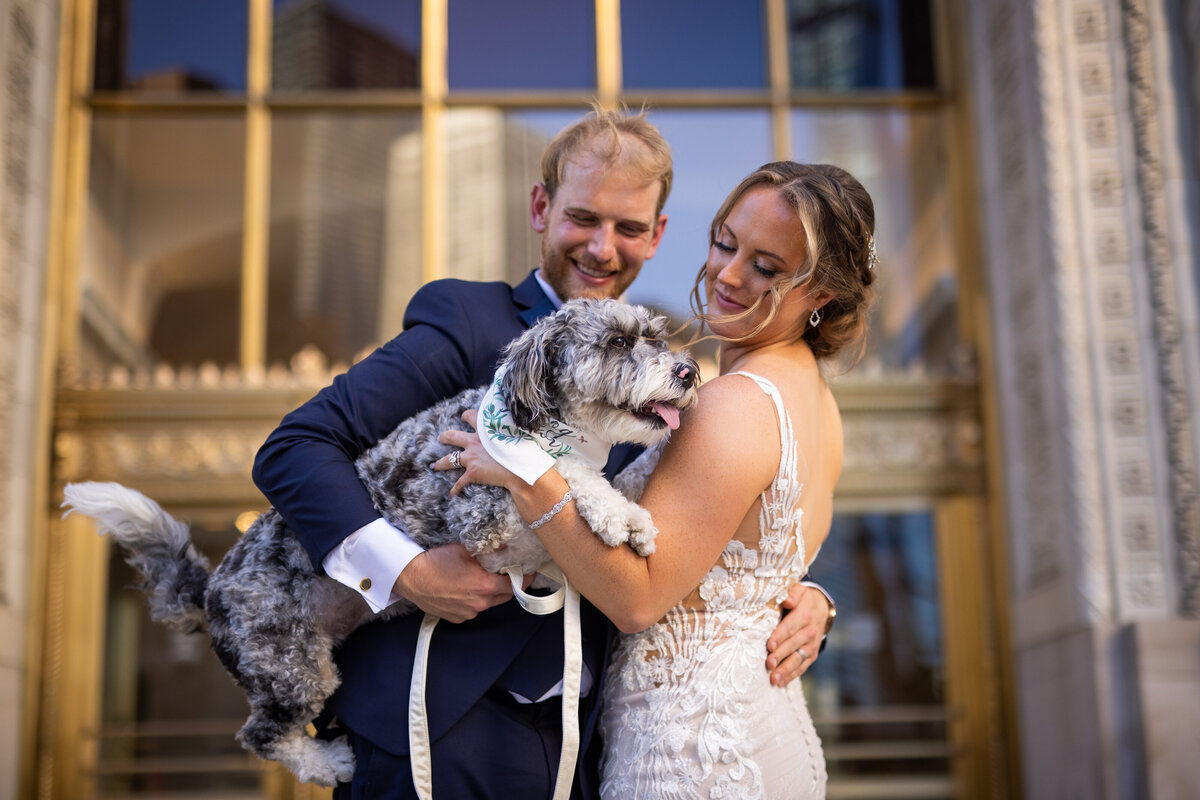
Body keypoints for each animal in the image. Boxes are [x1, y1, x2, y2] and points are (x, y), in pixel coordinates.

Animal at [65, 298, 700, 786]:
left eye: (654, 335)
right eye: (617, 342)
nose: (689, 372)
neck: (547, 424)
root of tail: (210, 587)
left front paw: (628, 513)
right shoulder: (483, 512)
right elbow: (559, 474)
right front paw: (610, 511)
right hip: (290, 665)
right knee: (261, 734)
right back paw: (329, 763)